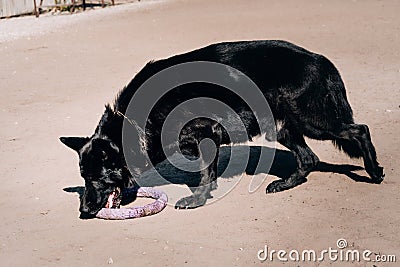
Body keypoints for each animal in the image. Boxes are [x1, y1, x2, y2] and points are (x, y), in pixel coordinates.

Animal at [60, 40, 384, 219]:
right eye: (83, 178)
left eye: (96, 178)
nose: (84, 211)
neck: (131, 119)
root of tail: (321, 60)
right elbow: (209, 170)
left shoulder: (204, 135)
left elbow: (204, 173)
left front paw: (198, 199)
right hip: (282, 129)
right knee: (309, 159)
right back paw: (285, 183)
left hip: (313, 122)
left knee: (360, 130)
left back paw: (374, 171)